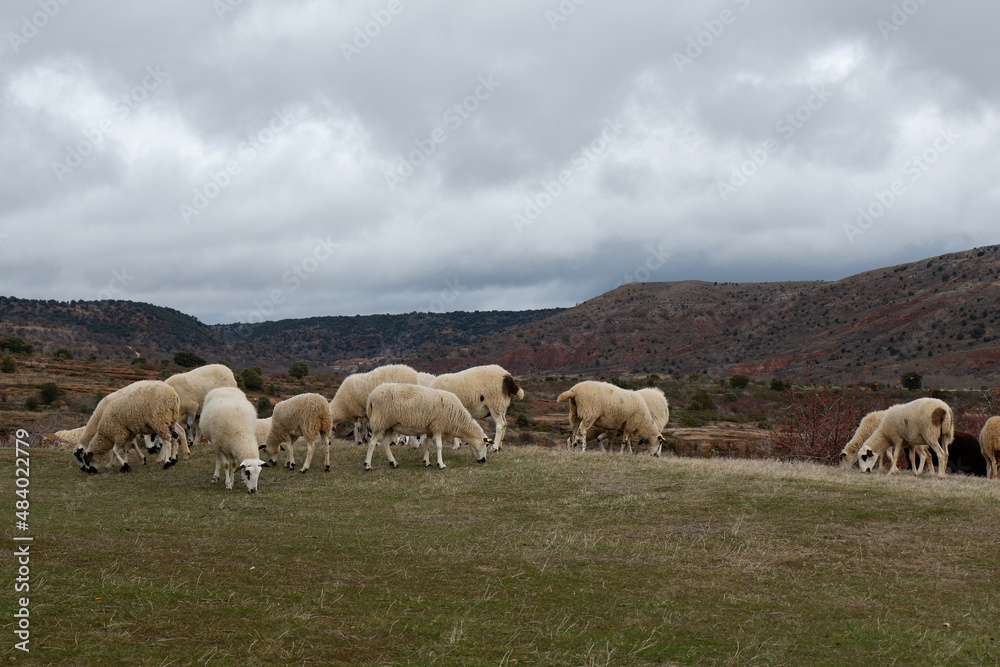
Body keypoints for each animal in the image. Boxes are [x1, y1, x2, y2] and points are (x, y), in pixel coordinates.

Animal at [366, 384, 494, 472]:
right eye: (486, 445)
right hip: (380, 421)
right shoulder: (438, 427)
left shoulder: (430, 430)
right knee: (372, 442)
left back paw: (393, 463)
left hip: (388, 425)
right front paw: (441, 464)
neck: (458, 419)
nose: (484, 460)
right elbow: (439, 446)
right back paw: (367, 465)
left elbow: (428, 445)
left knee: (385, 443)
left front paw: (426, 462)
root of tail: (371, 396)